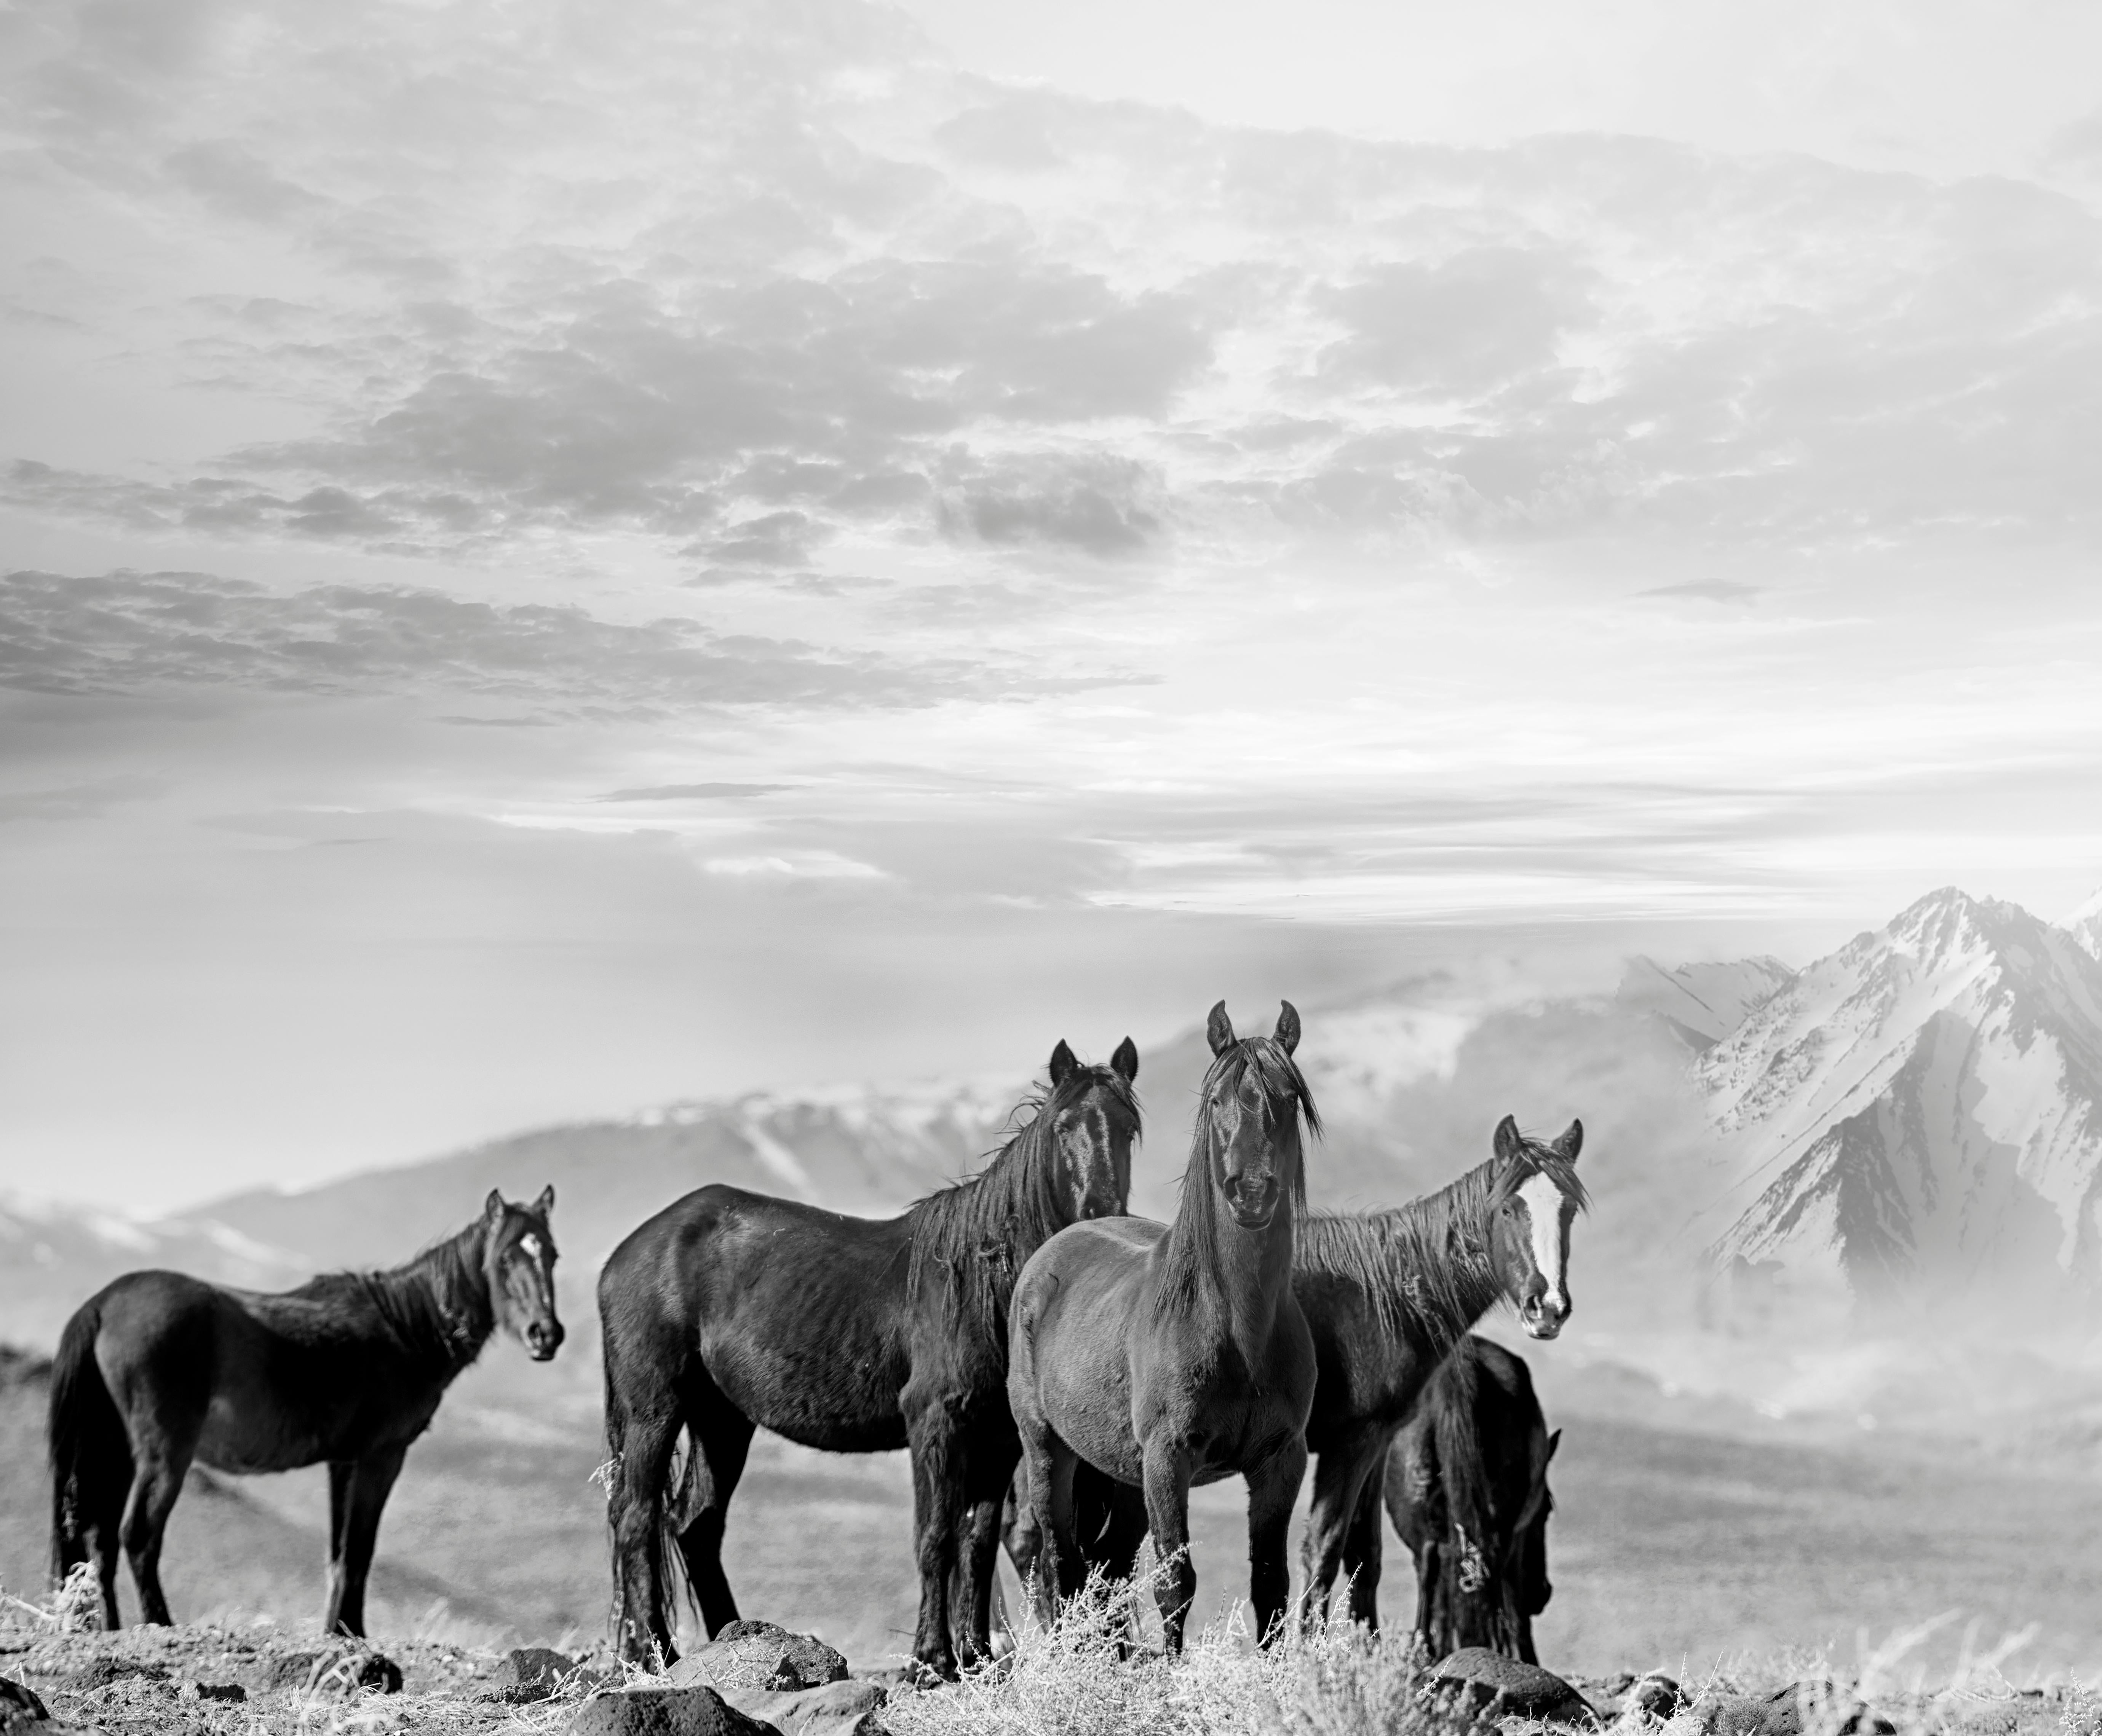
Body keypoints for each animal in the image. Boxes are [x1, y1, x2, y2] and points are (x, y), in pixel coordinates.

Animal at [55, 1185, 567, 1631]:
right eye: (505, 1257)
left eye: (552, 1255)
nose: (546, 1335)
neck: (405, 1330)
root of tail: (104, 1303)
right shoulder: (381, 1458)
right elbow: (359, 1551)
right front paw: (353, 1633)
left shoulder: (343, 1463)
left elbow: (340, 1556)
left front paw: (338, 1631)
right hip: (164, 1455)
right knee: (138, 1535)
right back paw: (160, 1624)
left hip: (116, 1452)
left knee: (99, 1540)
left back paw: (110, 1629)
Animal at [601, 1034, 1143, 1673]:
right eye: (1064, 1128)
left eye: (1129, 1128)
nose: (1100, 1214)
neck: (980, 1284)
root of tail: (629, 1252)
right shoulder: (935, 1424)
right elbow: (935, 1538)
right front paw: (931, 1659)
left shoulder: (996, 1438)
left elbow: (978, 1543)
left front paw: (975, 1655)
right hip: (654, 1411)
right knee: (637, 1520)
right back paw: (650, 1651)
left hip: (722, 1419)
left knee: (695, 1526)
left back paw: (730, 1639)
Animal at [1000, 1000, 1311, 1648]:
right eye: (1216, 1098)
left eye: (1289, 1096)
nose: (1250, 1191)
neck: (1237, 1328)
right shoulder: (1169, 1459)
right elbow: (1175, 1584)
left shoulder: (1281, 1461)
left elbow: (1271, 1587)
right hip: (1046, 1447)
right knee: (1059, 1559)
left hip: (1123, 1471)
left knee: (1108, 1565)